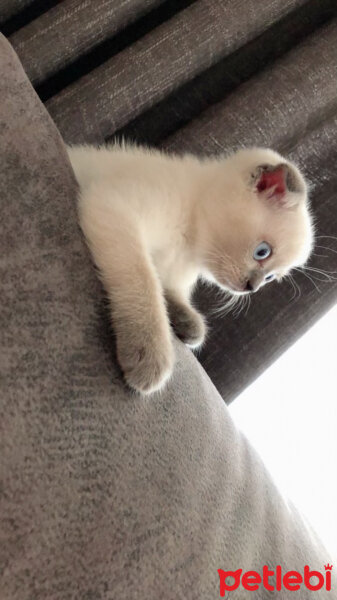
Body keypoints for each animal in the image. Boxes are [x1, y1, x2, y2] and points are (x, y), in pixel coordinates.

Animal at [67, 144, 312, 396]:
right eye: (262, 252)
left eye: (270, 278)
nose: (251, 288)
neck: (189, 245)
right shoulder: (115, 207)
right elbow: (145, 285)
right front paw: (151, 355)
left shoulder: (172, 277)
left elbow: (169, 296)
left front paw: (188, 326)